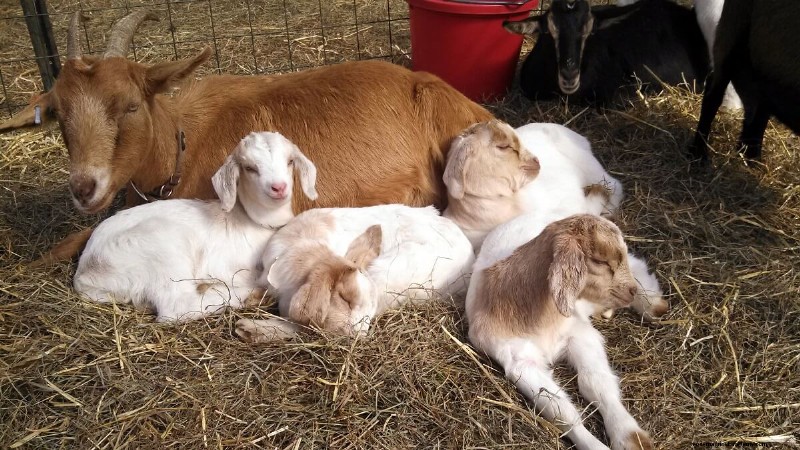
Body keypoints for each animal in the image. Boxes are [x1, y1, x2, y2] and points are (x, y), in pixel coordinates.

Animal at [73, 131, 316, 322]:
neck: (257, 221)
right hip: (161, 249)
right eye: (250, 168)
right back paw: (251, 294)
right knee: (176, 306)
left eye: (290, 161)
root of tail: (86, 273)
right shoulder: (228, 266)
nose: (279, 187)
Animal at [467, 213, 654, 450]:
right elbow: (560, 410)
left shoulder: (580, 335)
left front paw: (631, 437)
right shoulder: (520, 361)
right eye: (600, 261)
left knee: (638, 264)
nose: (631, 291)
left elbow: (597, 382)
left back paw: (654, 304)